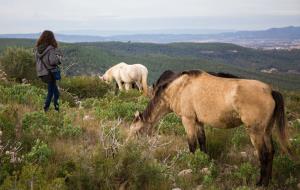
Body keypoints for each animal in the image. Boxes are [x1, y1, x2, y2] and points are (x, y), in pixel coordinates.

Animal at [128, 69, 290, 186]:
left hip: (255, 132)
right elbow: (202, 142)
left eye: (137, 131)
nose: (131, 148)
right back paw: (268, 181)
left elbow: (192, 145)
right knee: (271, 152)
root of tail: (270, 91)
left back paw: (261, 183)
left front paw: (192, 166)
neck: (178, 88)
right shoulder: (199, 122)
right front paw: (204, 163)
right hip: (266, 131)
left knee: (264, 155)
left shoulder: (187, 120)